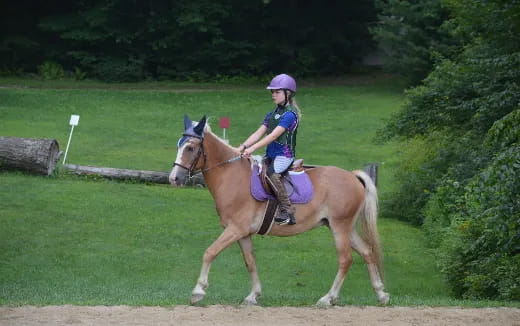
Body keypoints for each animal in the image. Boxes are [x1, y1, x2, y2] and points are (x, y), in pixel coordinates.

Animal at [169, 115, 388, 306]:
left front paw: (198, 291)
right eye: (179, 144)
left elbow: (210, 252)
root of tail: (352, 176)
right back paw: (381, 293)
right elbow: (250, 262)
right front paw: (253, 295)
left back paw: (328, 298)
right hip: (344, 228)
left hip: (339, 227)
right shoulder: (243, 233)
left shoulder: (235, 229)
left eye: (190, 147)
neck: (231, 176)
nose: (174, 178)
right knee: (367, 252)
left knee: (345, 259)